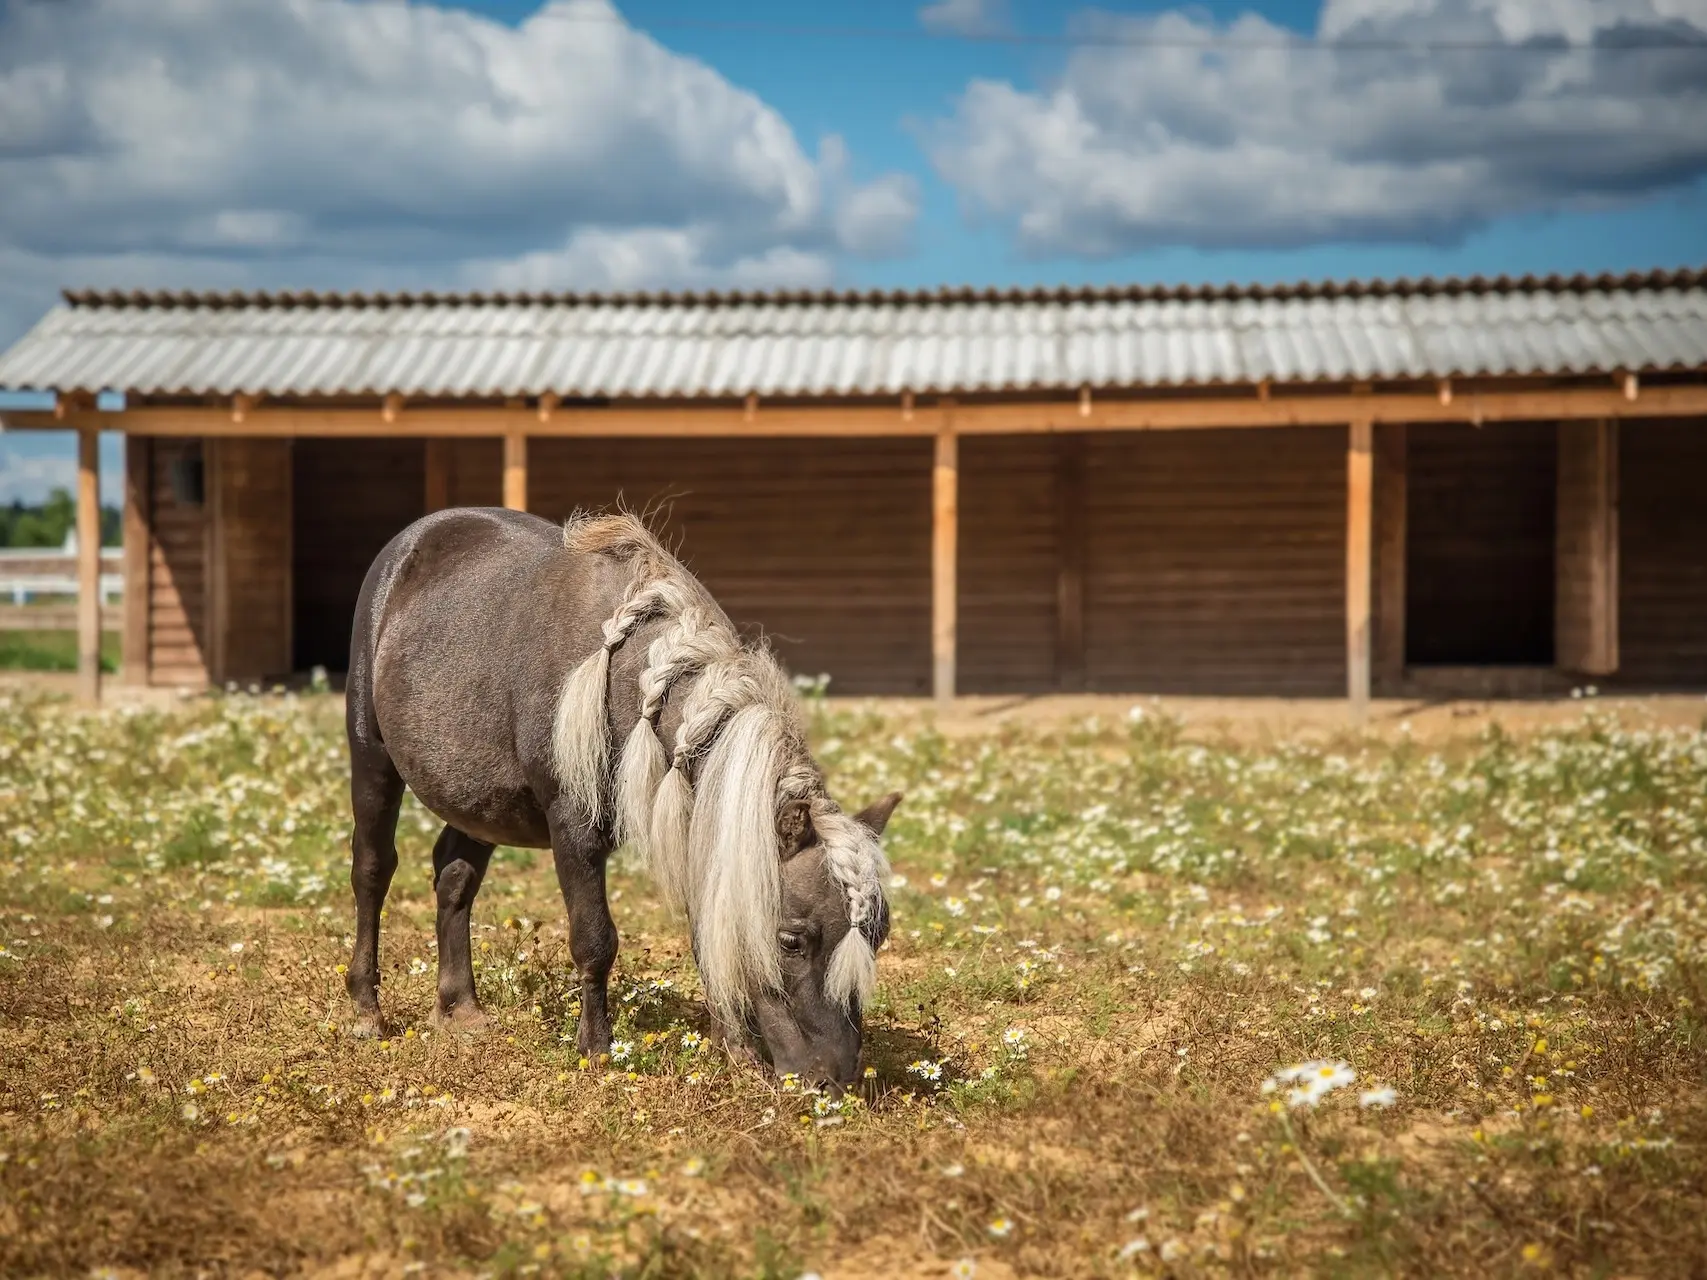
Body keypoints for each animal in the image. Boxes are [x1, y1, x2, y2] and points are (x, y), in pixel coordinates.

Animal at [348, 505, 908, 1085]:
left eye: (879, 934)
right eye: (791, 939)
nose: (836, 1080)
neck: (632, 679)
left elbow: (707, 934)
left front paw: (735, 1052)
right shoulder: (573, 827)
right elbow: (594, 939)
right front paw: (597, 1048)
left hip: (480, 804)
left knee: (454, 876)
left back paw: (459, 1009)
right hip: (371, 756)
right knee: (372, 869)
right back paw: (368, 1010)